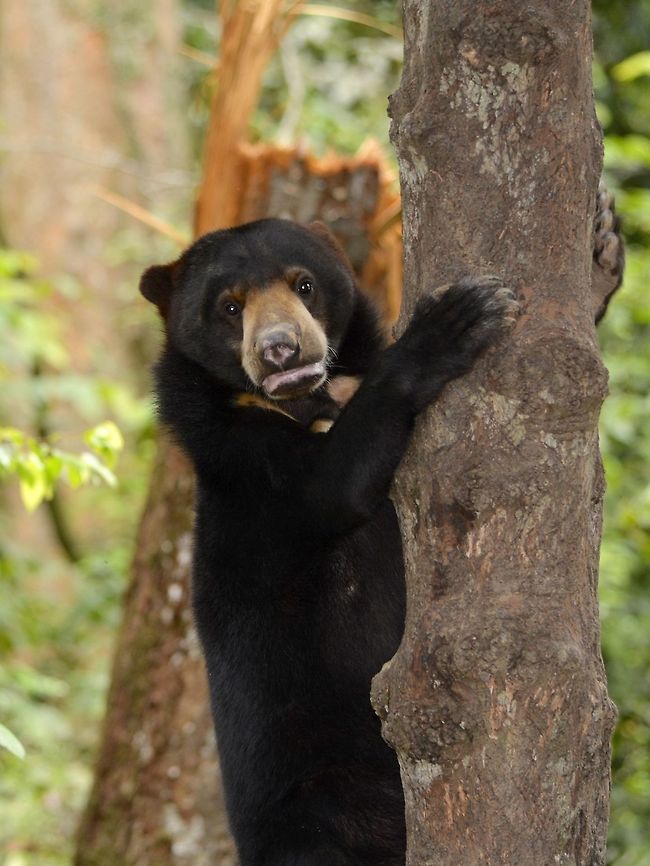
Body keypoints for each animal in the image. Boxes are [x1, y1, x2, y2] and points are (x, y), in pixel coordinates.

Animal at [140, 203, 622, 866]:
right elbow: (333, 485)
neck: (309, 397)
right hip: (321, 802)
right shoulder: (246, 464)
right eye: (230, 306)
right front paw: (454, 322)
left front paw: (601, 249)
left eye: (304, 285)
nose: (281, 350)